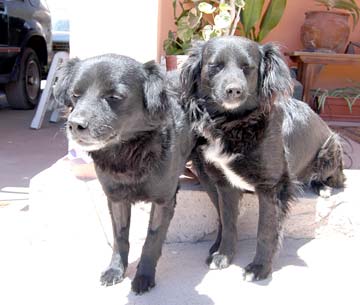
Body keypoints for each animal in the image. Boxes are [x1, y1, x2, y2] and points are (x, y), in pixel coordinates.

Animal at [53, 54, 194, 292]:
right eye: (75, 94)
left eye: (114, 97)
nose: (74, 124)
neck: (126, 155)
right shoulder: (116, 199)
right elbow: (120, 238)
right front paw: (115, 270)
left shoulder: (164, 200)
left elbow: (152, 240)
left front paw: (144, 276)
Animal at [181, 37, 344, 280]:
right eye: (215, 66)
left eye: (247, 67)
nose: (234, 90)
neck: (233, 124)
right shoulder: (224, 184)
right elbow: (228, 222)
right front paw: (224, 256)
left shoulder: (271, 187)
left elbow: (266, 231)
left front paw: (259, 268)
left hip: (330, 149)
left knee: (337, 179)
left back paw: (323, 186)